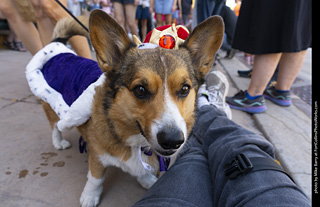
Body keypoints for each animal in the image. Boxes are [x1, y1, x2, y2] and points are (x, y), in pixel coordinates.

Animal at [26, 9, 224, 207]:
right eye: (140, 90)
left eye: (184, 89)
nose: (172, 140)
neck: (136, 141)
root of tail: (56, 48)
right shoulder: (97, 155)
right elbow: (96, 178)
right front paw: (90, 196)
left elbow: (142, 171)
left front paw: (146, 180)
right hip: (53, 108)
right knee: (55, 127)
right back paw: (59, 142)